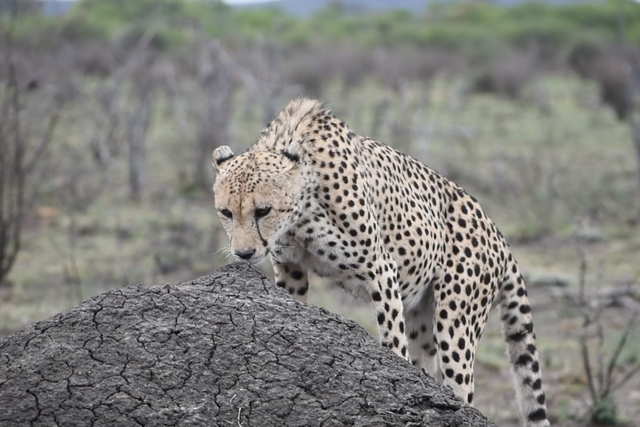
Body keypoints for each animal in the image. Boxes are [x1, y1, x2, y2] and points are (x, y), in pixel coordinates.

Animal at [211, 97, 549, 427]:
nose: (244, 253)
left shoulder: (380, 268)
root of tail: (499, 235)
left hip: (456, 321)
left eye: (263, 210)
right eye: (226, 212)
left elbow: (392, 337)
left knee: (460, 384)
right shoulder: (290, 268)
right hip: (423, 315)